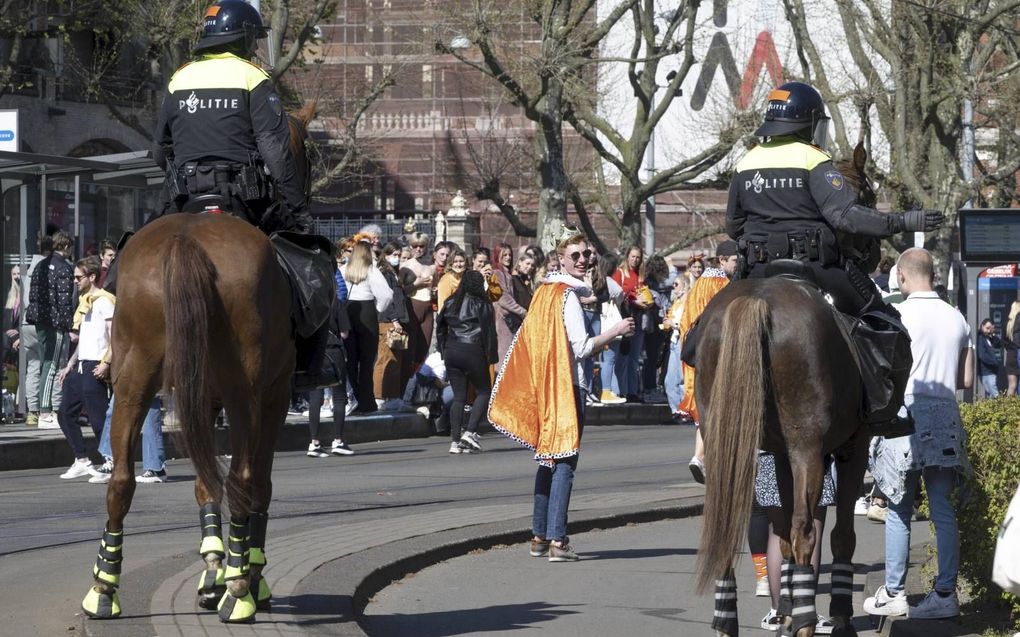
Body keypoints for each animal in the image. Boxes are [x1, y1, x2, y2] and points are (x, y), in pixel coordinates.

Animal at [81, 102, 314, 619]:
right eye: (303, 152)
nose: (304, 201)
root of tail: (188, 239)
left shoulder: (200, 396)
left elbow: (206, 481)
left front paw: (214, 569)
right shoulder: (273, 395)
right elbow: (257, 482)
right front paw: (243, 571)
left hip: (134, 379)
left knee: (121, 480)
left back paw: (104, 586)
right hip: (245, 391)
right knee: (244, 476)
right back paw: (241, 592)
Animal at [697, 143, 881, 635]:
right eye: (869, 196)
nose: (876, 255)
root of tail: (757, 298)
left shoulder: (777, 452)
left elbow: (779, 535)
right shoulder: (852, 446)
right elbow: (839, 535)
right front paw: (837, 615)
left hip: (729, 441)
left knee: (727, 521)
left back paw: (729, 617)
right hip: (808, 448)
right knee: (804, 529)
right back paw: (803, 620)